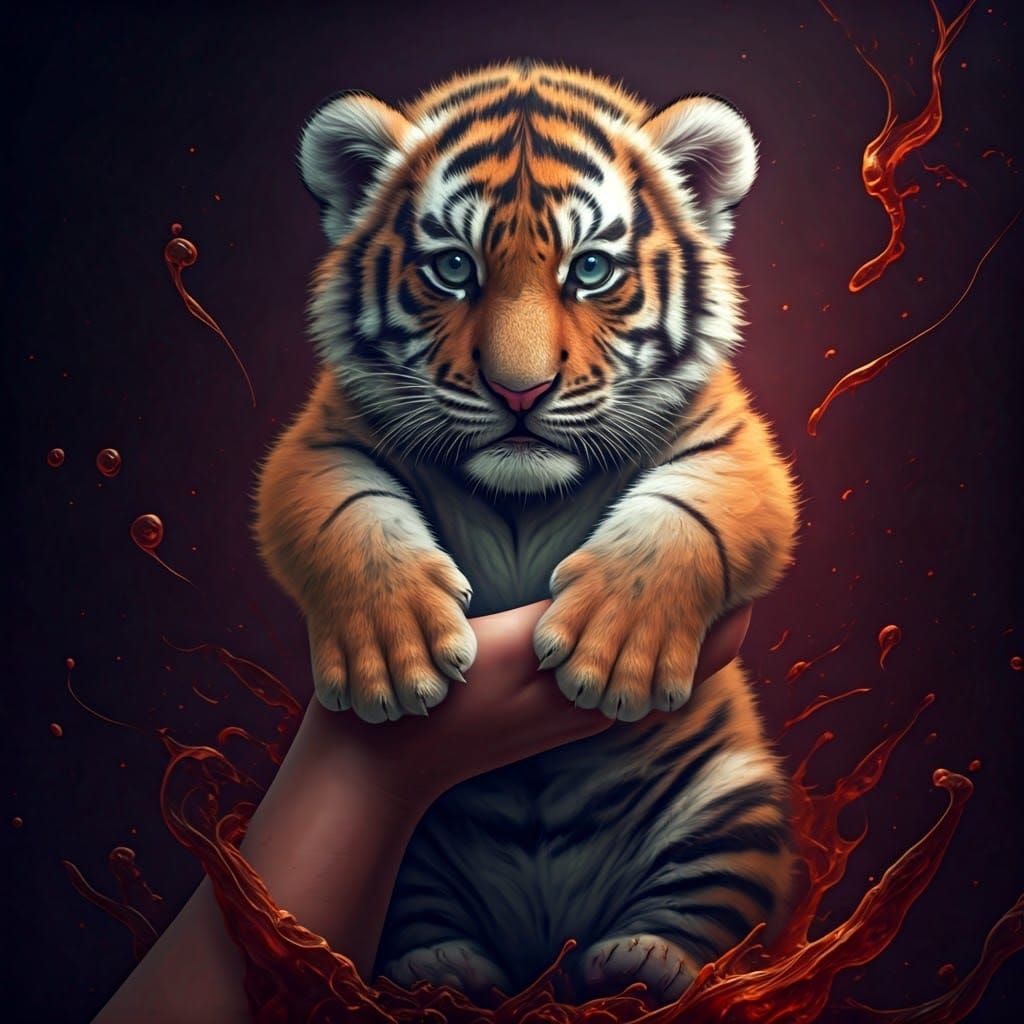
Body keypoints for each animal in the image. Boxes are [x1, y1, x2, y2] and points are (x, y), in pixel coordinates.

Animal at [256, 61, 799, 1003]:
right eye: (451, 268)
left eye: (591, 270)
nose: (520, 391)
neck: (522, 500)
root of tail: (543, 941)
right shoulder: (320, 443)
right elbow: (347, 512)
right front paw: (392, 658)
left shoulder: (734, 448)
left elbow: (684, 514)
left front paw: (610, 652)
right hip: (417, 845)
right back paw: (443, 968)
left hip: (734, 802)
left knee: (703, 899)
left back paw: (641, 964)